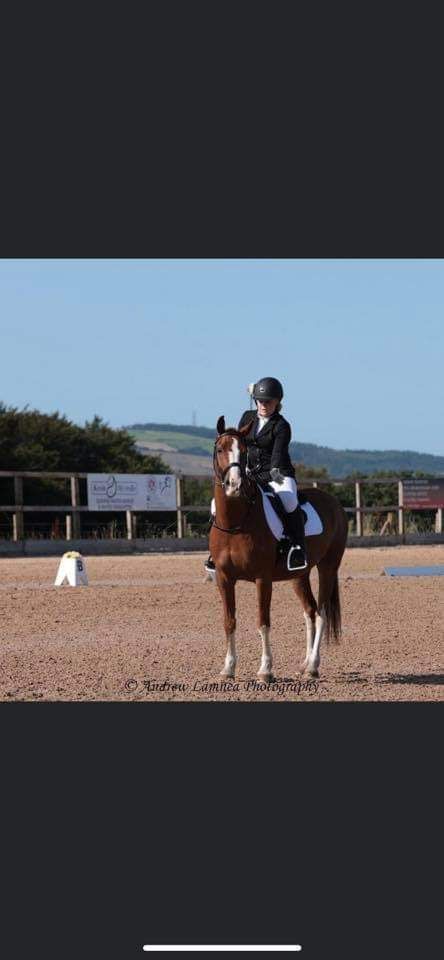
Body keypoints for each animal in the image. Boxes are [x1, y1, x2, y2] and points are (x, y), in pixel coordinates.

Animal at [210, 416, 348, 680]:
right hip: (299, 575)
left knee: (321, 613)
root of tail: (334, 502)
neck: (236, 523)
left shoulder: (262, 579)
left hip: (328, 568)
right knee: (309, 611)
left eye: (244, 452)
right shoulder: (224, 578)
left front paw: (265, 670)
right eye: (220, 449)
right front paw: (228, 668)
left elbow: (263, 622)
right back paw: (305, 664)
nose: (234, 485)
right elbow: (228, 621)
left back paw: (313, 666)